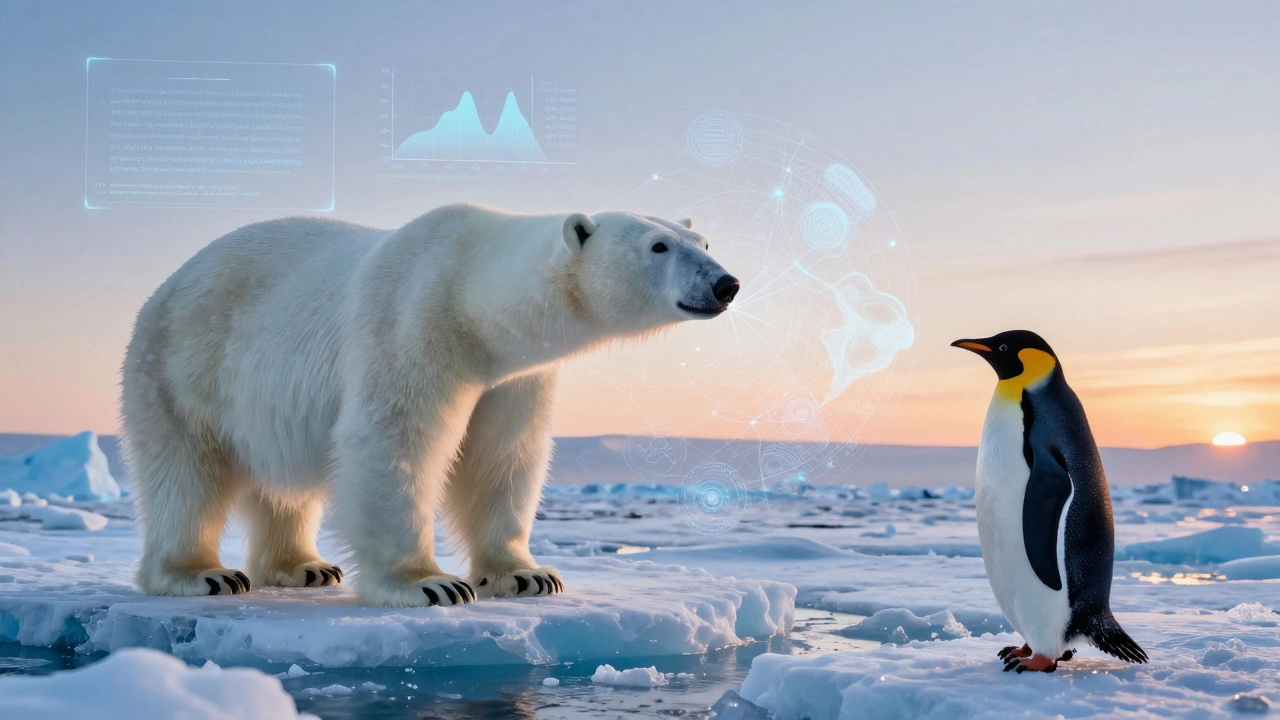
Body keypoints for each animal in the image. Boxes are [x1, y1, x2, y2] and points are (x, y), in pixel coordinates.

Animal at [121, 204, 739, 607]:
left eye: (705, 244)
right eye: (658, 247)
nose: (726, 284)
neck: (471, 293)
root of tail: (166, 286)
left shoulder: (512, 376)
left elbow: (502, 455)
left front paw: (526, 576)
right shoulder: (411, 322)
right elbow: (393, 439)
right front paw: (431, 584)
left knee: (283, 488)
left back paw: (305, 567)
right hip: (181, 365)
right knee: (186, 474)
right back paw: (203, 574)